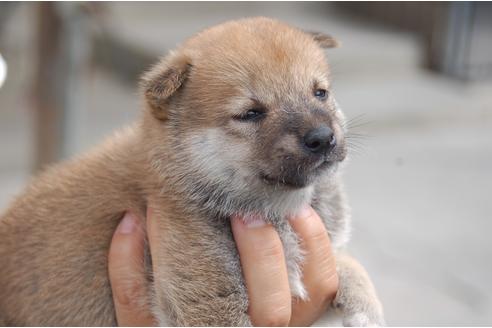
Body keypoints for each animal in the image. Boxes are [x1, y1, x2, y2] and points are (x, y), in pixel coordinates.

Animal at [0, 17, 384, 326]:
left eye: (320, 93)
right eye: (251, 113)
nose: (322, 137)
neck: (278, 208)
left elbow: (348, 262)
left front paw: (366, 304)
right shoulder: (207, 291)